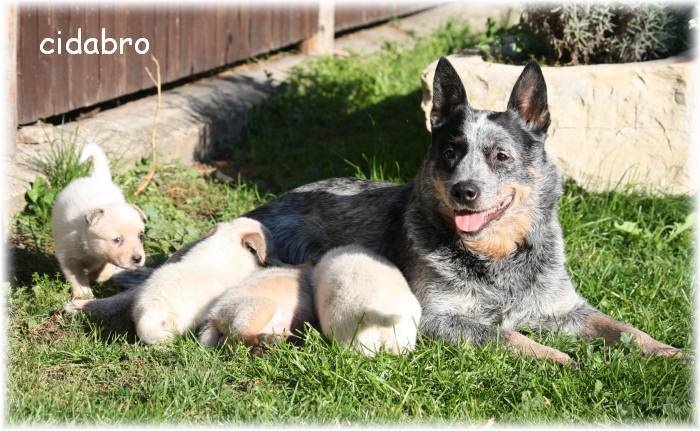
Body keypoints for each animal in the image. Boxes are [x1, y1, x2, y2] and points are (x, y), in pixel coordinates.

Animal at [52, 143, 146, 299]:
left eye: (140, 237)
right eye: (117, 240)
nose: (138, 259)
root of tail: (97, 178)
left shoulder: (109, 258)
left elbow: (105, 270)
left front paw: (94, 276)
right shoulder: (69, 256)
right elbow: (77, 276)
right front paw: (83, 293)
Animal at [245, 57, 684, 364]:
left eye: (500, 155)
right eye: (451, 151)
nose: (464, 190)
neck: (498, 257)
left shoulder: (565, 308)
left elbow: (623, 328)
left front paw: (671, 353)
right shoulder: (440, 319)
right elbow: (507, 335)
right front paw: (559, 357)